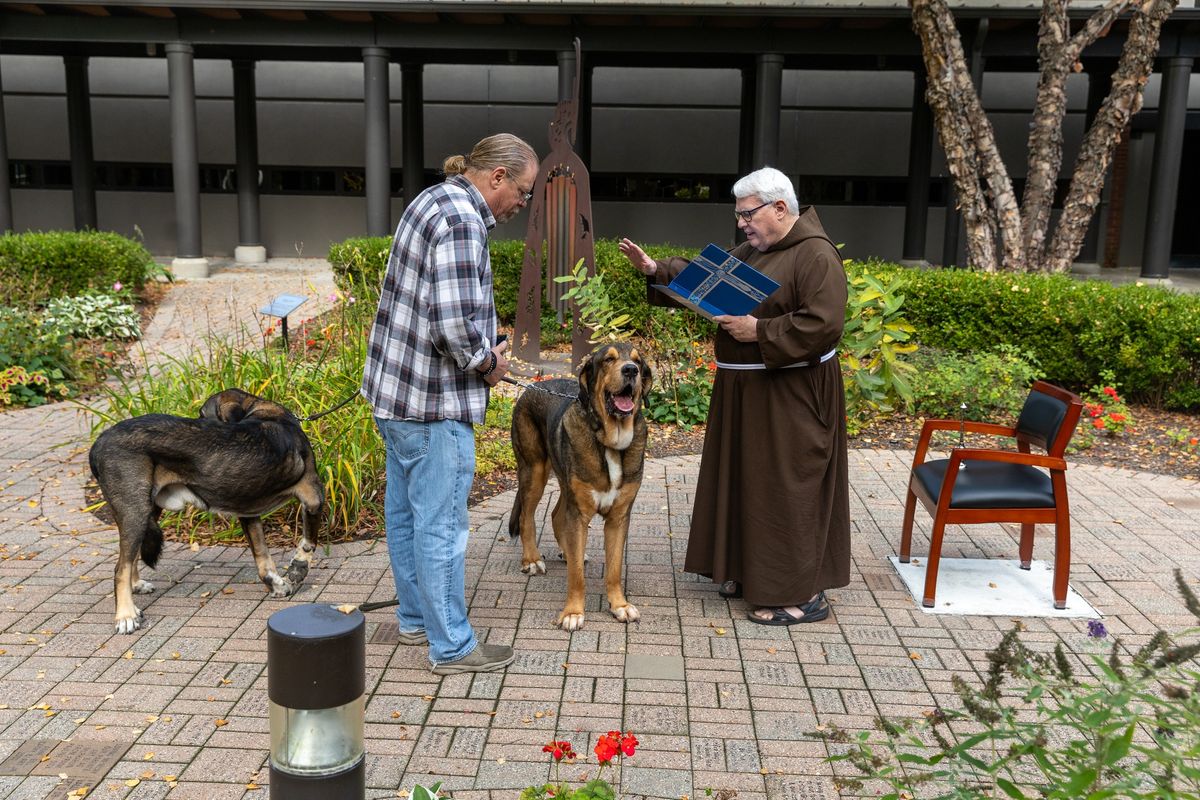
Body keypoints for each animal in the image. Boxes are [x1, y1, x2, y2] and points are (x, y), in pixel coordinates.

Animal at [88, 391, 321, 633]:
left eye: (202, 414)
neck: (265, 411)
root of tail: (98, 443)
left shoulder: (248, 513)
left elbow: (263, 558)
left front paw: (275, 584)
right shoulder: (313, 497)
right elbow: (309, 541)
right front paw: (299, 567)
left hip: (144, 511)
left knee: (131, 555)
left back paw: (135, 587)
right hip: (134, 510)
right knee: (120, 568)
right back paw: (125, 615)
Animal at [508, 345, 657, 633]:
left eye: (637, 361)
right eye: (609, 359)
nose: (630, 370)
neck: (609, 442)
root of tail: (534, 384)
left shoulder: (619, 518)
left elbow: (614, 568)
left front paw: (619, 605)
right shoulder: (578, 513)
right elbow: (576, 576)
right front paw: (573, 613)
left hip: (564, 483)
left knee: (556, 516)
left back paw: (567, 551)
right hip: (534, 470)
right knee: (527, 517)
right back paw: (531, 560)